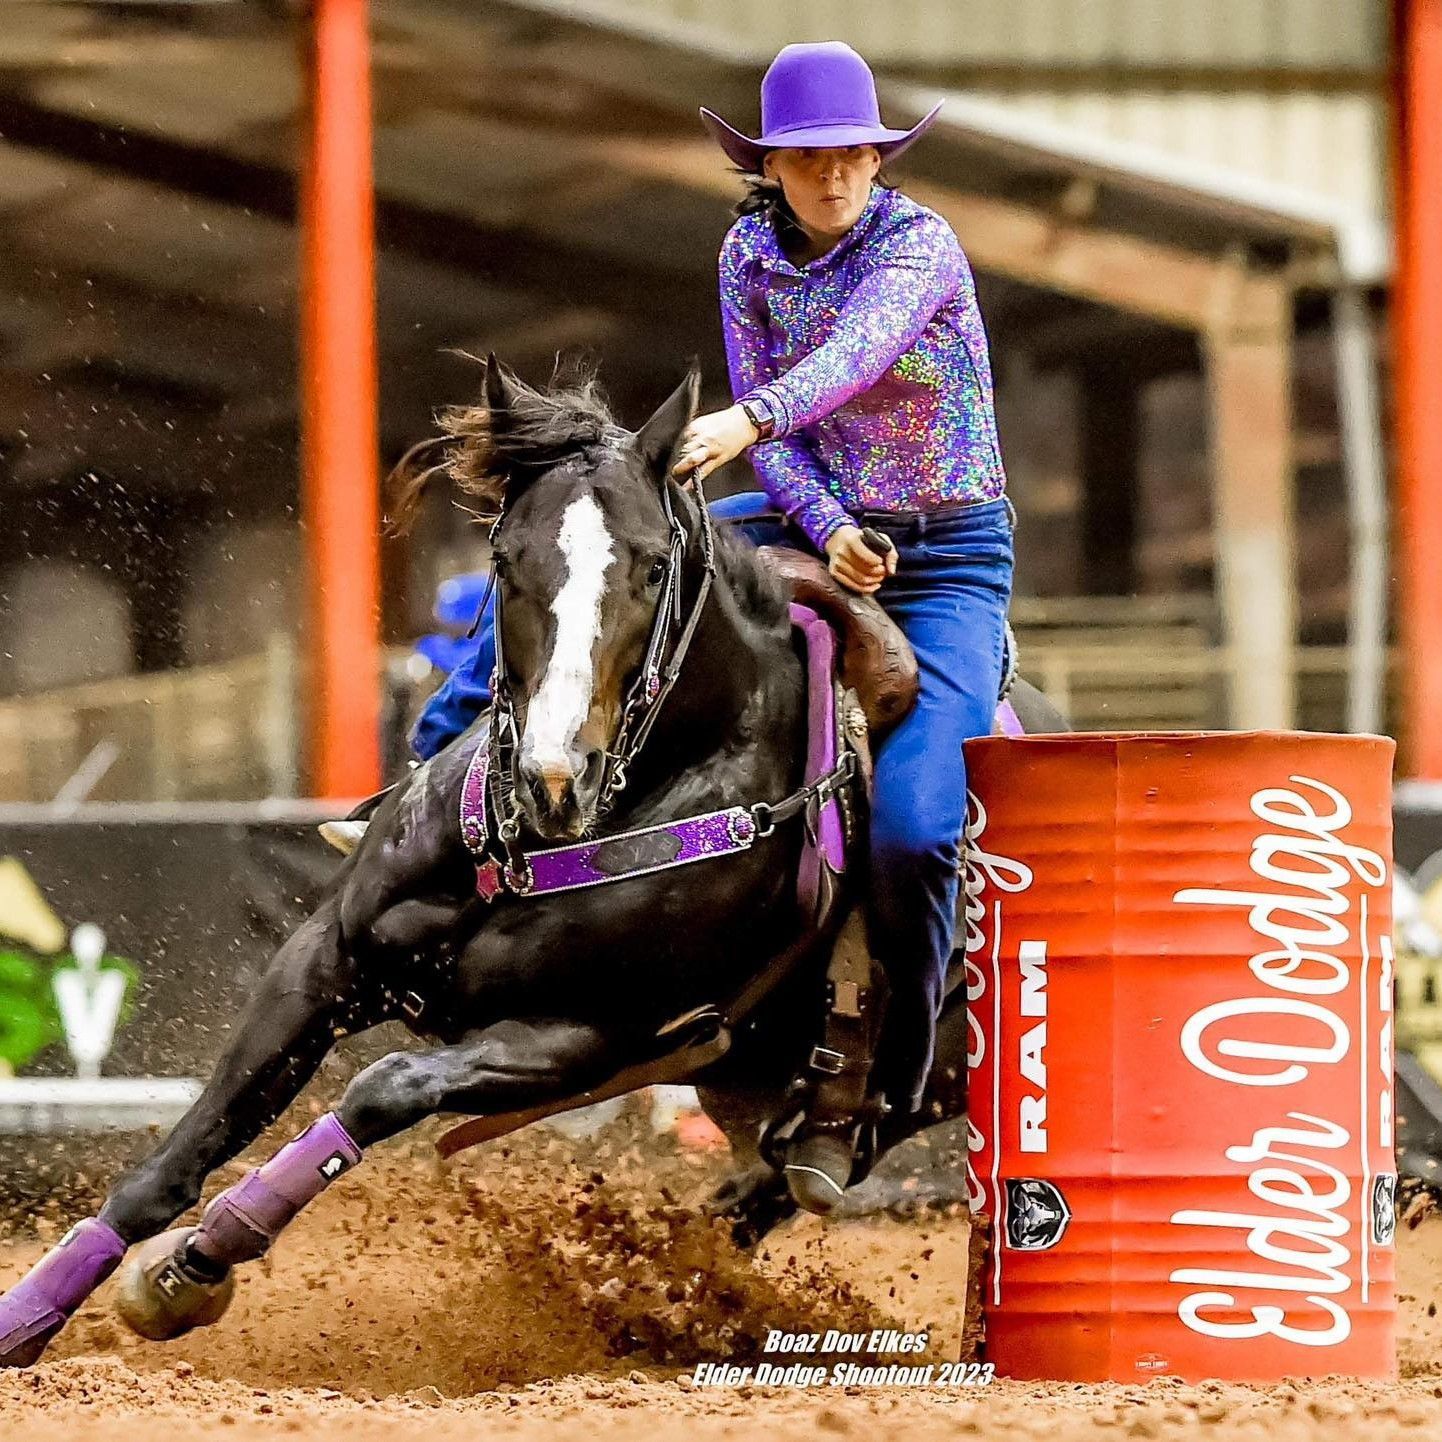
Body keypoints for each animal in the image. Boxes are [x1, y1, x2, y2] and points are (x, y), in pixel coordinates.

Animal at [0, 360, 1062, 1368]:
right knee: (746, 1199)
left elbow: (381, 1086)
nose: (557, 773)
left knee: (787, 1181)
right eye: (506, 561)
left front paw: (197, 1262)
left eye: (650, 568)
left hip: (915, 1085)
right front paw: (36, 1316)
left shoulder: (584, 1037)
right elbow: (183, 1150)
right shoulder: (324, 957)